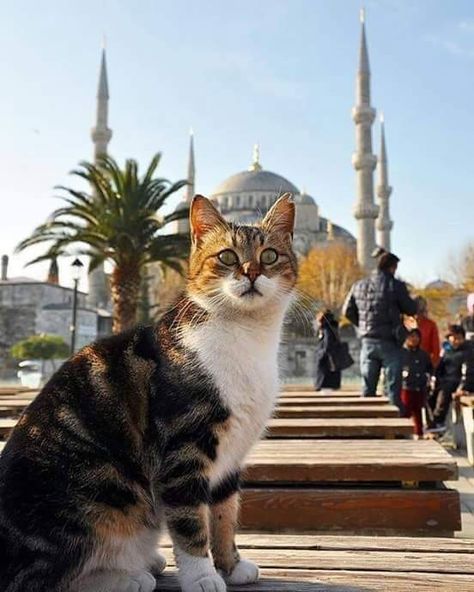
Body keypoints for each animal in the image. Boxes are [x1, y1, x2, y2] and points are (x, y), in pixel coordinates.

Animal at [0, 192, 296, 588]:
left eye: (270, 256)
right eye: (227, 257)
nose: (251, 272)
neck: (247, 336)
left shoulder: (231, 457)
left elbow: (224, 513)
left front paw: (231, 565)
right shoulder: (183, 447)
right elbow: (190, 522)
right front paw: (202, 577)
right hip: (94, 493)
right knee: (41, 579)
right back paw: (128, 577)